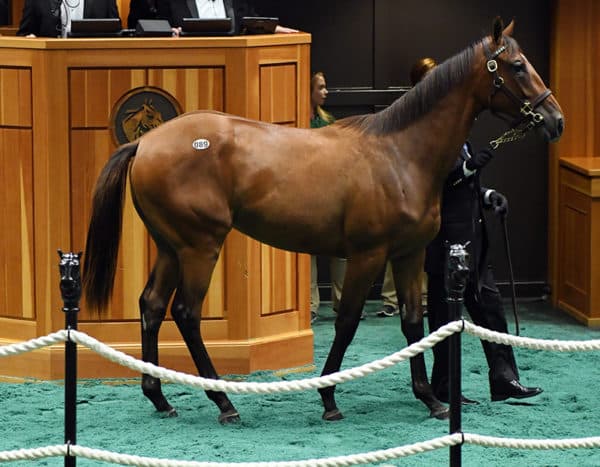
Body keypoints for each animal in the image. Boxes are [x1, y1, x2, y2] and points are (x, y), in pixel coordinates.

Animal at [83, 18, 564, 426]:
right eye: (517, 66)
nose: (555, 119)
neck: (399, 154)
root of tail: (146, 143)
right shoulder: (367, 256)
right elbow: (347, 322)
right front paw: (329, 397)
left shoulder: (408, 255)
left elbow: (413, 323)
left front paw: (430, 398)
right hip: (200, 247)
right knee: (185, 313)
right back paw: (224, 401)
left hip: (170, 246)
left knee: (150, 306)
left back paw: (160, 398)